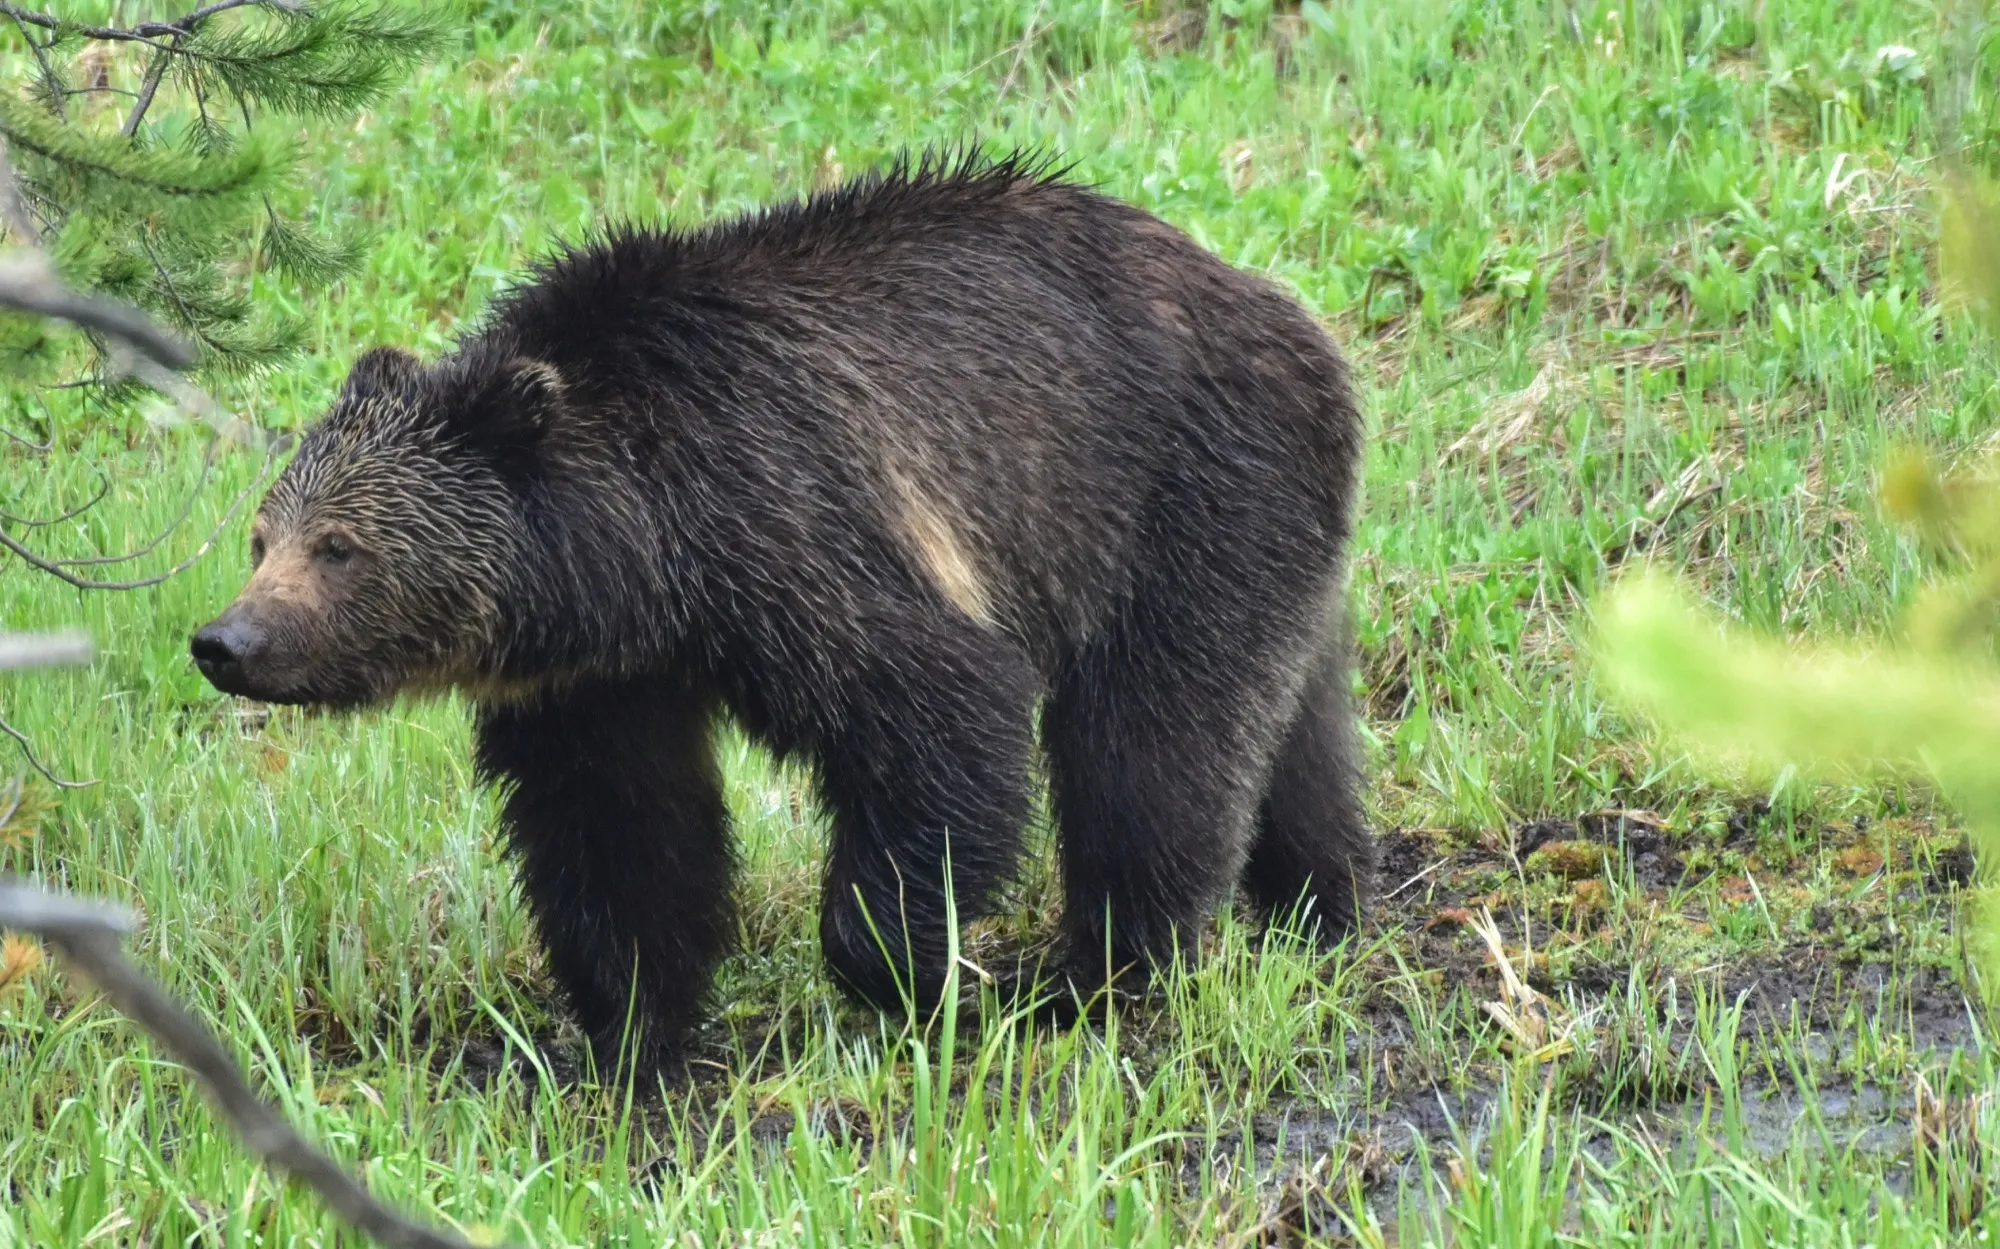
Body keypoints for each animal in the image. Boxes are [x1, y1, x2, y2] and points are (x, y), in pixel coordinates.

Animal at [189, 150, 1372, 1078]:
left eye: (338, 547)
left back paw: (1105, 970)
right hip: (1263, 532)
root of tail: (1287, 308)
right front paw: (629, 1030)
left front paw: (913, 973)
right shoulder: (598, 684)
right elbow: (620, 830)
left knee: (1151, 743)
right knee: (1289, 718)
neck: (637, 555)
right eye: (261, 535)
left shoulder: (790, 522)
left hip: (1174, 493)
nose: (225, 642)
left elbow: (936, 708)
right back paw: (1318, 895)